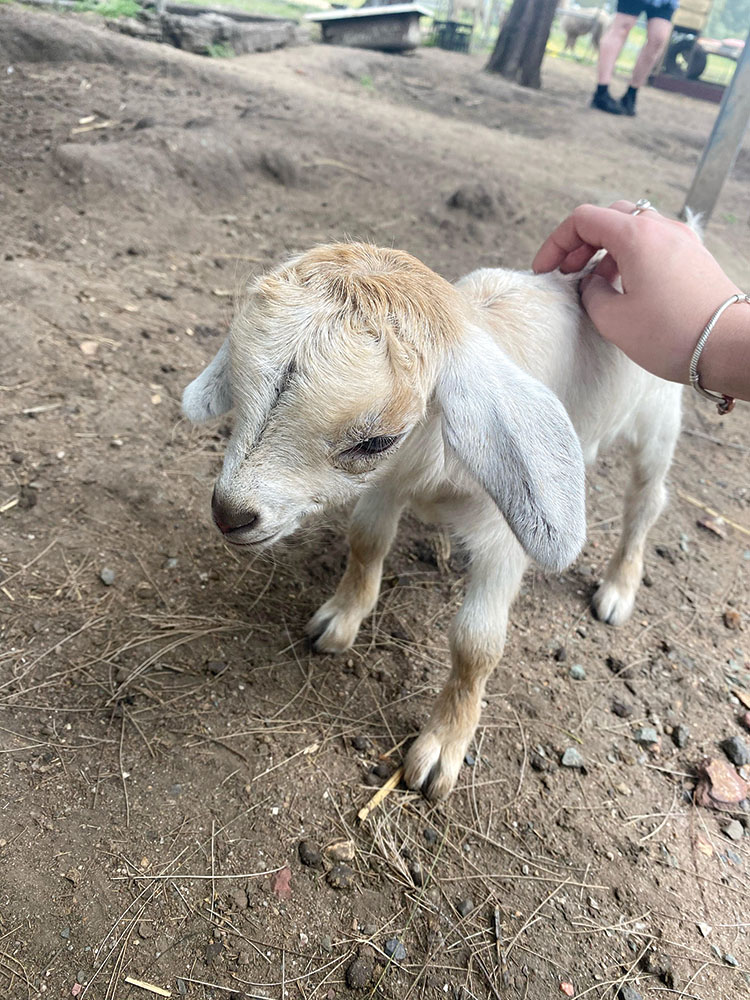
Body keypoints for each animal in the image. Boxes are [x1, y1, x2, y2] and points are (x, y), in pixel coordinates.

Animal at [185, 246, 684, 800]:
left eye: (374, 441)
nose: (230, 513)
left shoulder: (503, 534)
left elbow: (476, 644)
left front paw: (443, 745)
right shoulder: (386, 487)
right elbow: (366, 542)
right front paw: (341, 617)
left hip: (658, 420)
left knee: (646, 501)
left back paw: (618, 589)